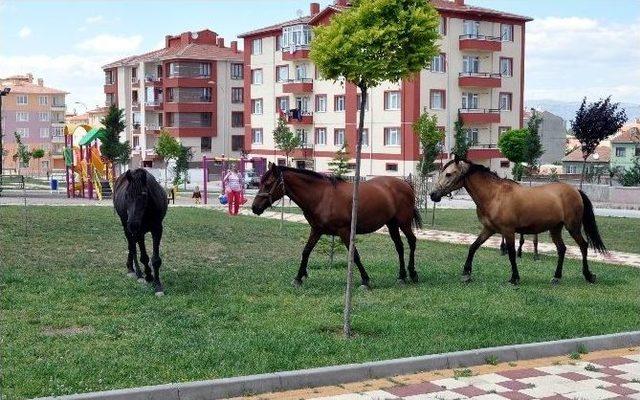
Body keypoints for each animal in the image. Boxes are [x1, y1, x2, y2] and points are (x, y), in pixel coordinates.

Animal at [252, 164, 422, 290]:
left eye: (268, 184)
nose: (255, 207)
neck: (321, 196)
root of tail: (405, 184)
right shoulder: (316, 230)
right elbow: (306, 251)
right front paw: (298, 278)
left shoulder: (344, 231)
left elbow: (355, 255)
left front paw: (365, 280)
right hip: (392, 223)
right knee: (399, 247)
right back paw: (401, 276)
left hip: (403, 222)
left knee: (412, 241)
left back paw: (413, 273)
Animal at [430, 156, 604, 284]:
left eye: (448, 174)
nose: (433, 195)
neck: (494, 195)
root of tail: (575, 190)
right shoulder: (489, 229)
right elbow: (473, 247)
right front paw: (466, 273)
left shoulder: (508, 231)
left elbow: (512, 254)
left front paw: (514, 278)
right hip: (555, 228)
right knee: (562, 249)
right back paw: (556, 277)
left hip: (572, 226)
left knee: (583, 246)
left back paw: (588, 275)